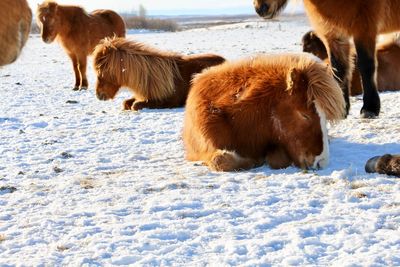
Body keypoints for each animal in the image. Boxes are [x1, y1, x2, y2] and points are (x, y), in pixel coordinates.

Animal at [92, 37, 227, 110]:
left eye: (100, 72)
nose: (99, 95)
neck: (150, 78)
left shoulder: (164, 102)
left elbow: (135, 105)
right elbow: (126, 103)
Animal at [255, 0, 400, 118]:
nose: (260, 9)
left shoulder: (364, 30)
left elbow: (366, 66)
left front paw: (369, 109)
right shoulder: (334, 33)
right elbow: (339, 69)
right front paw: (340, 110)